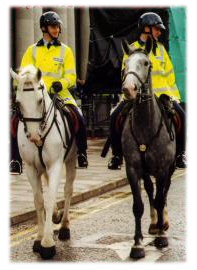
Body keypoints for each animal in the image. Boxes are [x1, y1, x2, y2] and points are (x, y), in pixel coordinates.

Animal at [10, 65, 77, 260]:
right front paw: (39, 239)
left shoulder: (55, 165)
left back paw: (64, 227)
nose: (34, 136)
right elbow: (39, 201)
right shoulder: (31, 168)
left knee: (68, 190)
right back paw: (55, 216)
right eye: (18, 103)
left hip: (71, 159)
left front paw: (47, 244)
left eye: (40, 100)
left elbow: (49, 199)